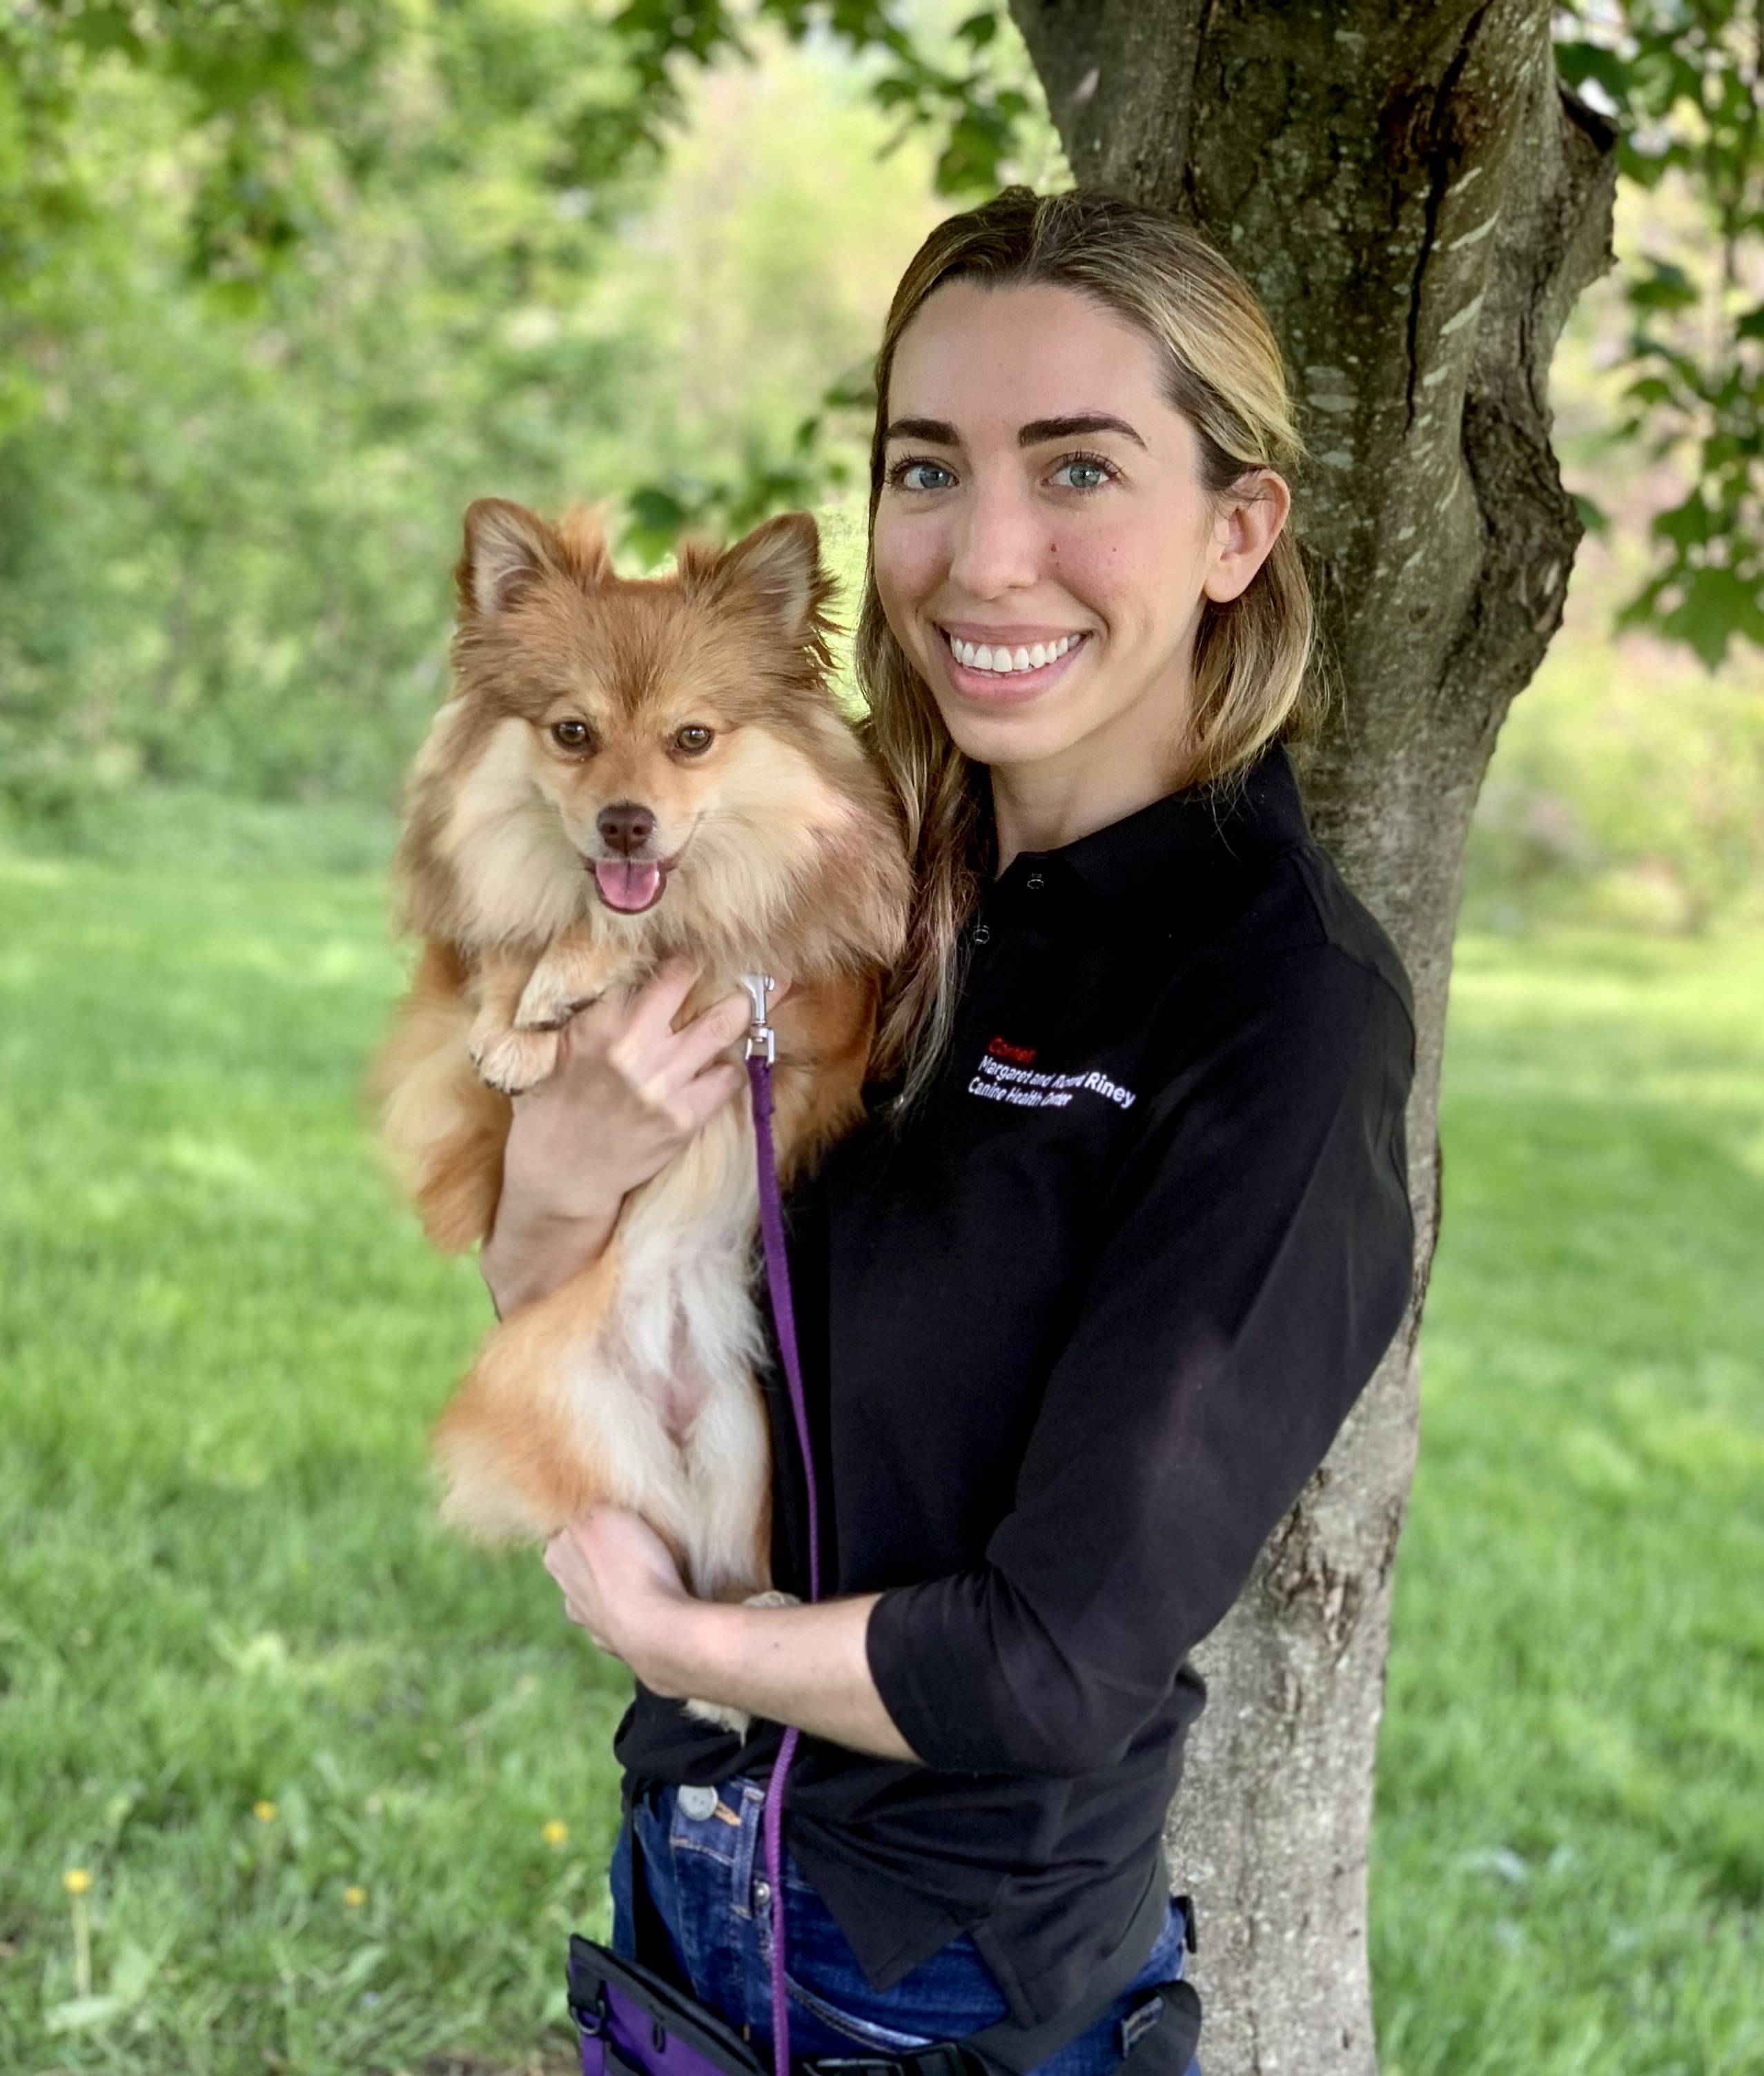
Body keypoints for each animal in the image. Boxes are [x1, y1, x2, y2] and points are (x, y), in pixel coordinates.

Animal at [373, 493, 909, 1627]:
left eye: (691, 738)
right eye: (571, 733)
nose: (627, 823)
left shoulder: (814, 1004)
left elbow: (679, 941)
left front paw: (578, 971)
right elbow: (502, 949)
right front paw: (518, 1015)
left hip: (748, 1452)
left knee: (714, 1578)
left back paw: (758, 1617)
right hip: (605, 1436)